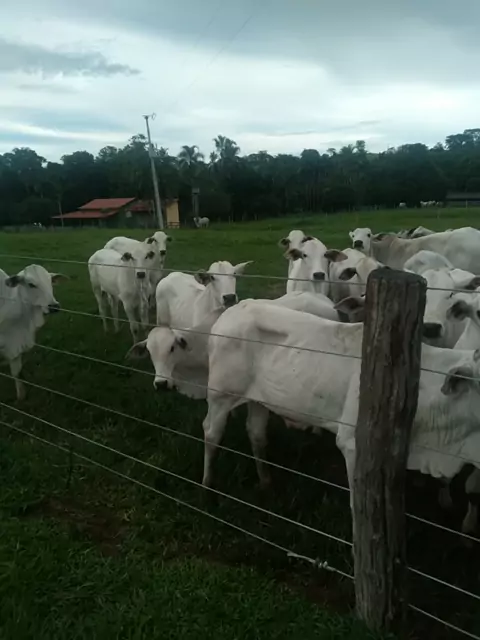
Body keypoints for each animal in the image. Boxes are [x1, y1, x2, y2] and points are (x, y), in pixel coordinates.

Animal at [0, 265, 65, 400]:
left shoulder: (14, 346)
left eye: (50, 281)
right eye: (31, 284)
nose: (54, 306)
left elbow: (17, 372)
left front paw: (21, 395)